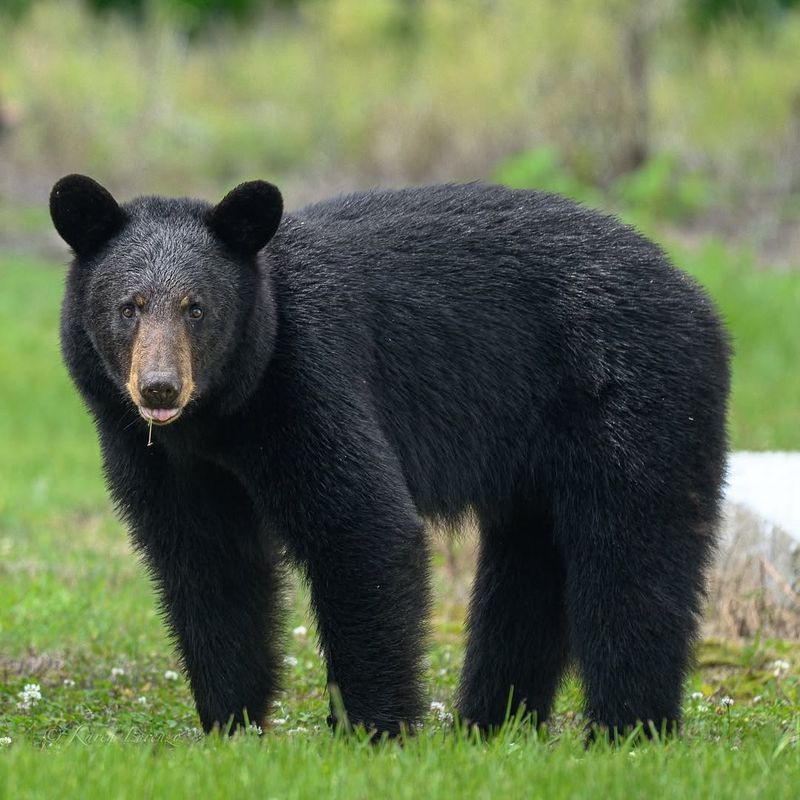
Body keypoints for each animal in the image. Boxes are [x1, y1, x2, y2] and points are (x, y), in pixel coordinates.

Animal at [49, 174, 730, 738]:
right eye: (129, 306)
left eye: (196, 307)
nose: (160, 388)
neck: (219, 417)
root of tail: (696, 293)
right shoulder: (159, 456)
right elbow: (206, 563)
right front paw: (231, 721)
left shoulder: (308, 380)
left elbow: (362, 525)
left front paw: (370, 730)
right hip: (538, 455)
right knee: (528, 566)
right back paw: (493, 725)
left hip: (635, 398)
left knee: (633, 554)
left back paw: (627, 729)